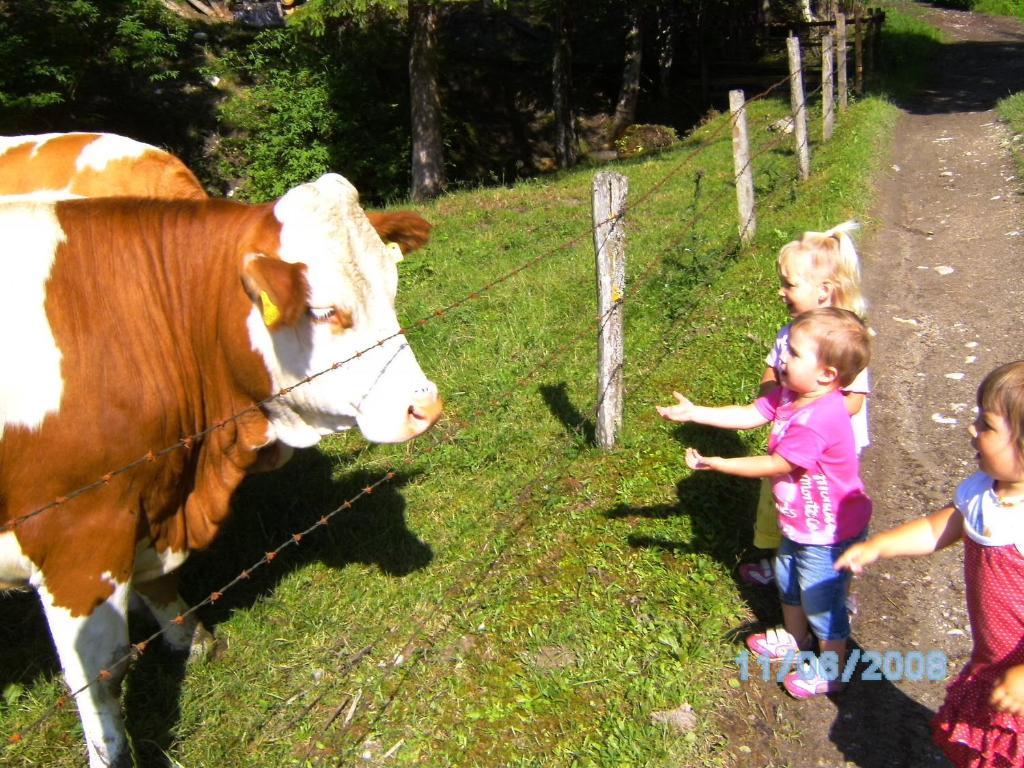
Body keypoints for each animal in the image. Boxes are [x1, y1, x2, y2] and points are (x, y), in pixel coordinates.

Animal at [0, 176, 440, 768]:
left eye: (391, 289)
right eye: (323, 311)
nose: (426, 407)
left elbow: (160, 583)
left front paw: (192, 639)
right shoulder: (78, 541)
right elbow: (100, 676)